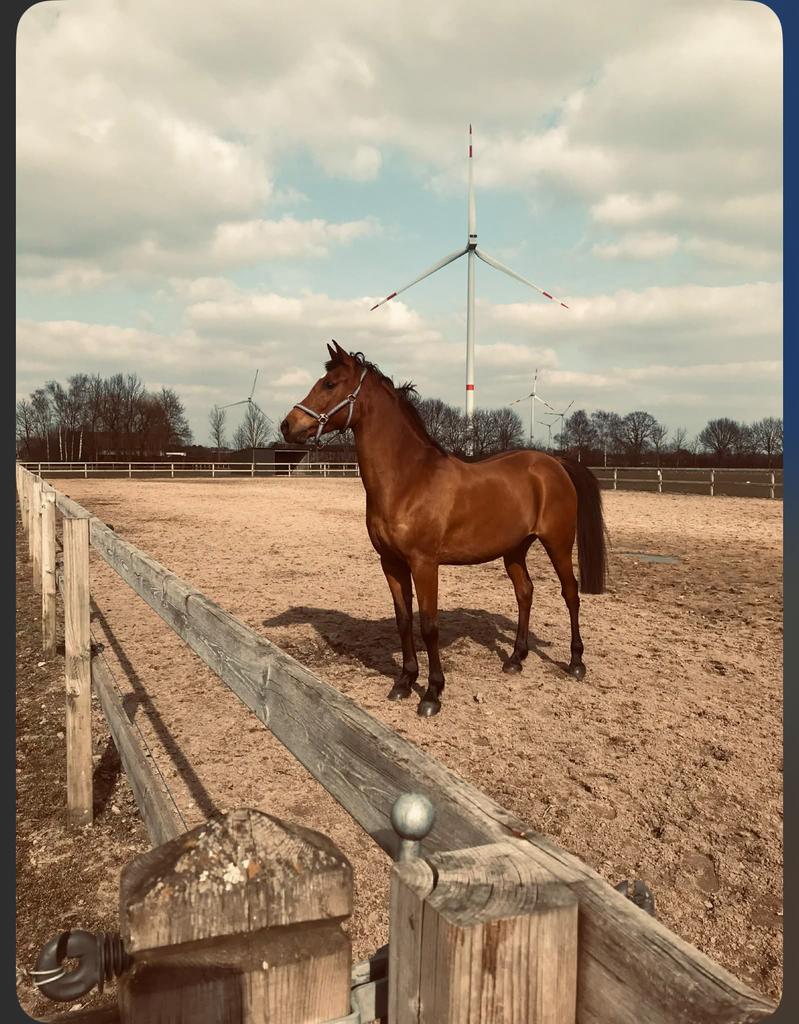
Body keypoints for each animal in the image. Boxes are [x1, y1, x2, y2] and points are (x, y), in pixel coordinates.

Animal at [281, 341, 608, 717]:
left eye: (330, 384)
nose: (287, 425)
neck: (408, 479)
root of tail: (553, 463)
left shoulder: (425, 564)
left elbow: (429, 625)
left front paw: (432, 693)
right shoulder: (391, 564)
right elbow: (404, 621)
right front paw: (404, 682)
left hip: (558, 543)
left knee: (571, 594)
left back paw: (576, 663)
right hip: (515, 549)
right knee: (525, 593)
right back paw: (515, 659)